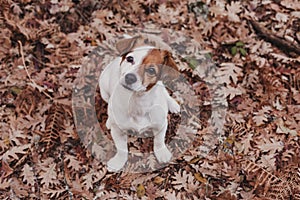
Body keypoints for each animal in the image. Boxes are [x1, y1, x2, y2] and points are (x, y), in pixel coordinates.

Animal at [99, 35, 180, 171]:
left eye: (151, 70)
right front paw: (118, 162)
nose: (129, 77)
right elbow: (121, 149)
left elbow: (159, 140)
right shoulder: (118, 131)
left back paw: (172, 104)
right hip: (104, 90)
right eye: (130, 59)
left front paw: (162, 152)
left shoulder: (161, 124)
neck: (137, 102)